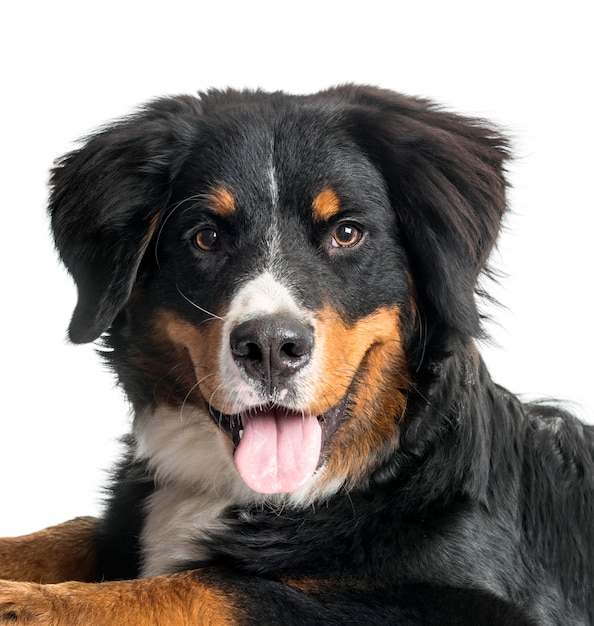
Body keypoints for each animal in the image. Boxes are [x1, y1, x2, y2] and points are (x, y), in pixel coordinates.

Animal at [0, 85, 588, 620]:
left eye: (346, 232)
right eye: (206, 237)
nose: (269, 346)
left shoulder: (469, 604)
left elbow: (213, 585)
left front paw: (23, 602)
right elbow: (72, 532)